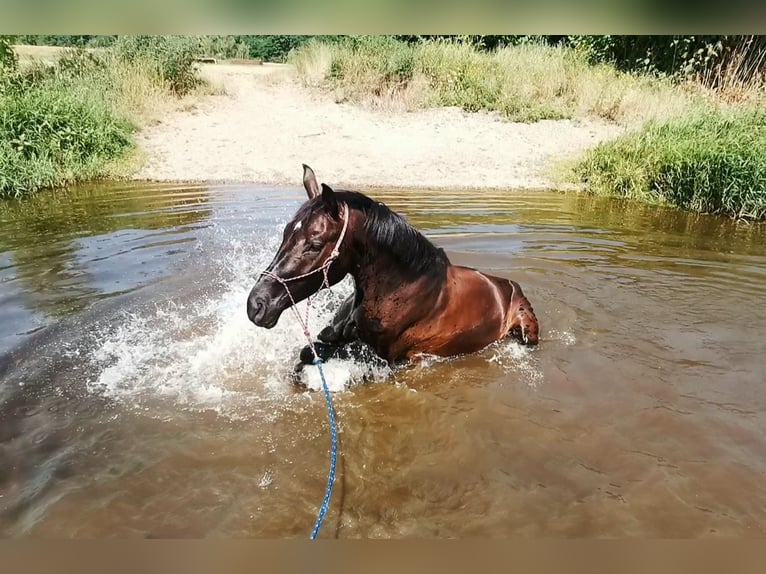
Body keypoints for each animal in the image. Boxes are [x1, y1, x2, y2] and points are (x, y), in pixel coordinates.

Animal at [247, 164, 539, 370]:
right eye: (286, 233)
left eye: (314, 244)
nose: (256, 305)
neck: (400, 287)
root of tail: (507, 285)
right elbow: (309, 349)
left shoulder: (384, 358)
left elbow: (312, 352)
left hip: (528, 332)